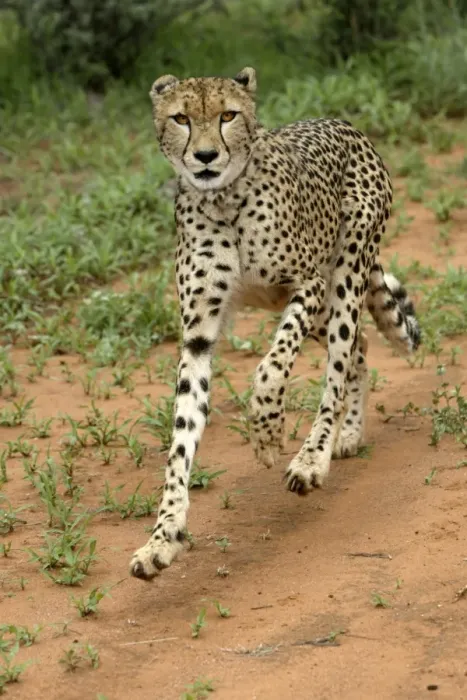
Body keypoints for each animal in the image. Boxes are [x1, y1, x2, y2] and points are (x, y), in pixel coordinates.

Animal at [129, 66, 421, 581]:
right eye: (181, 118)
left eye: (228, 115)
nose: (206, 156)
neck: (223, 199)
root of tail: (340, 122)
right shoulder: (198, 335)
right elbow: (181, 439)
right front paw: (163, 538)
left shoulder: (307, 284)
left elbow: (272, 364)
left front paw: (266, 432)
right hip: (323, 305)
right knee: (361, 346)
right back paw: (348, 433)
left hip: (344, 275)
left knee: (341, 359)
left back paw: (313, 457)